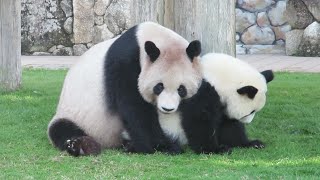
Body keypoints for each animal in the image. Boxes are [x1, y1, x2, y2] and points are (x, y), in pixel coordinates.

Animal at [47, 21, 202, 156]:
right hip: (74, 115)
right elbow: (135, 109)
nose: (167, 109)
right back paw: (81, 146)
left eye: (181, 89)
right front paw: (165, 146)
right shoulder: (123, 65)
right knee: (62, 129)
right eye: (159, 87)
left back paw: (128, 145)